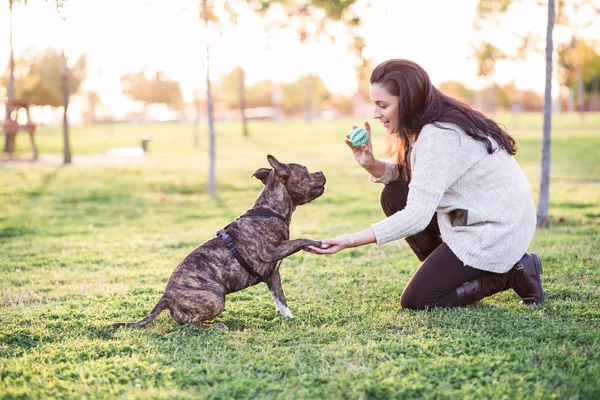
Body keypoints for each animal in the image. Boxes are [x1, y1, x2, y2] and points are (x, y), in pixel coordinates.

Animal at [112, 155, 328, 330]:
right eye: (306, 171)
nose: (321, 171)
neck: (270, 210)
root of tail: (165, 298)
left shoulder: (272, 275)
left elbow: (281, 301)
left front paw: (290, 318)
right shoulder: (270, 251)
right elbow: (299, 240)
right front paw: (318, 242)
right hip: (215, 298)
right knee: (192, 324)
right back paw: (216, 326)